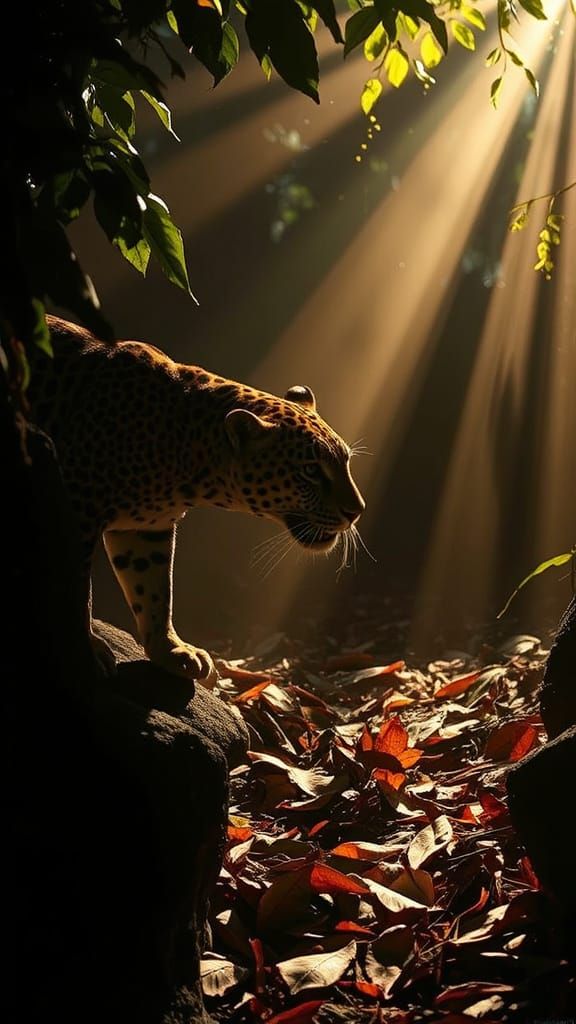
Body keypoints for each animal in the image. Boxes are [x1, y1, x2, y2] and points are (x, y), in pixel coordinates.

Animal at [28, 315, 365, 688]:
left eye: (345, 462)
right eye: (310, 471)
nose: (356, 512)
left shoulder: (147, 529)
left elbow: (156, 592)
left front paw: (171, 651)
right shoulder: (78, 505)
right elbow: (78, 588)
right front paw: (85, 648)